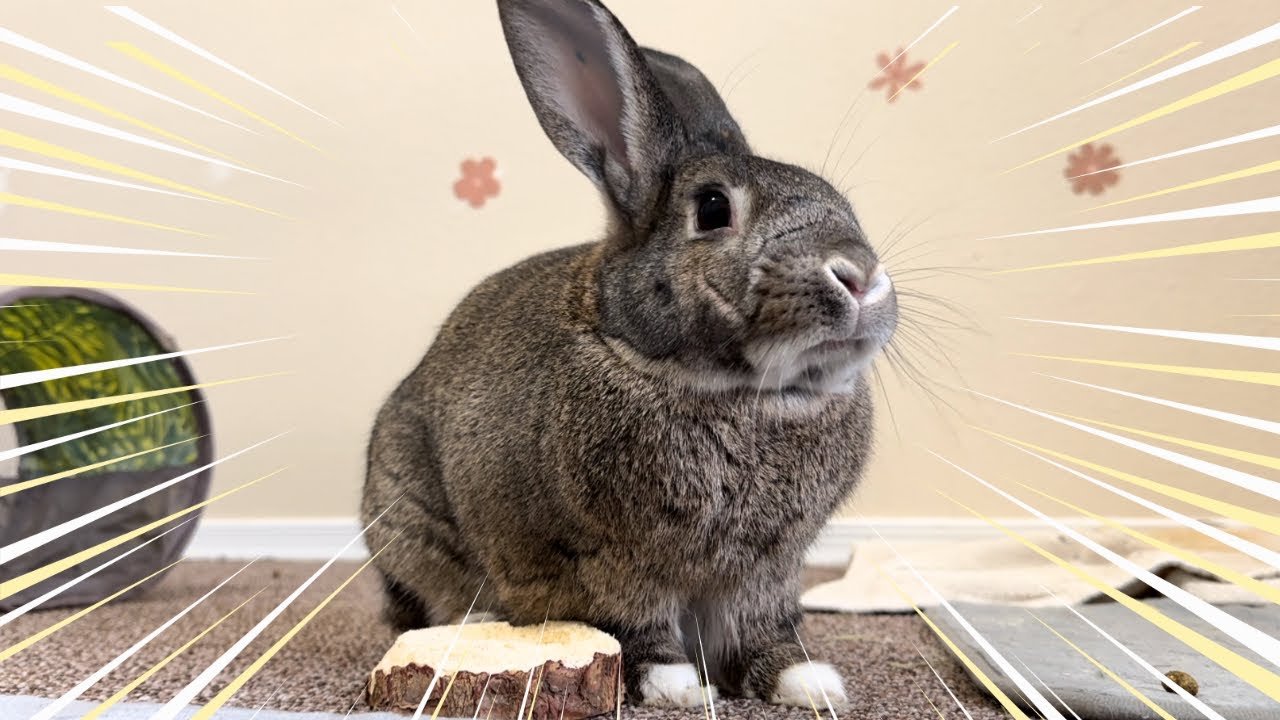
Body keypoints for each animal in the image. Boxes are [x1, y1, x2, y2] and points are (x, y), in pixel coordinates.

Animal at [361, 0, 898, 710]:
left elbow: (765, 630)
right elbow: (634, 625)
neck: (747, 394)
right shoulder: (609, 562)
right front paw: (676, 686)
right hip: (409, 517)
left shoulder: (767, 573)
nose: (860, 277)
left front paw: (807, 683)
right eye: (713, 208)